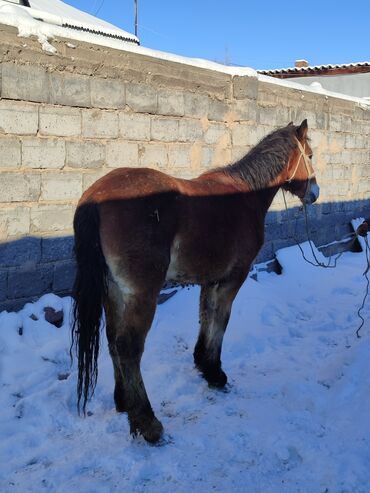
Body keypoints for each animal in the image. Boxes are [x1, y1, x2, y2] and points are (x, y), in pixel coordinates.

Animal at [71, 118, 318, 442]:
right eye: (310, 155)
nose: (315, 193)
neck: (245, 194)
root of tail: (95, 198)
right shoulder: (233, 277)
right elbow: (221, 320)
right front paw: (215, 374)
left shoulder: (209, 280)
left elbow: (205, 316)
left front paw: (202, 363)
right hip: (141, 294)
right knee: (129, 347)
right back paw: (147, 423)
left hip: (113, 291)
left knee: (113, 340)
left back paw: (124, 402)